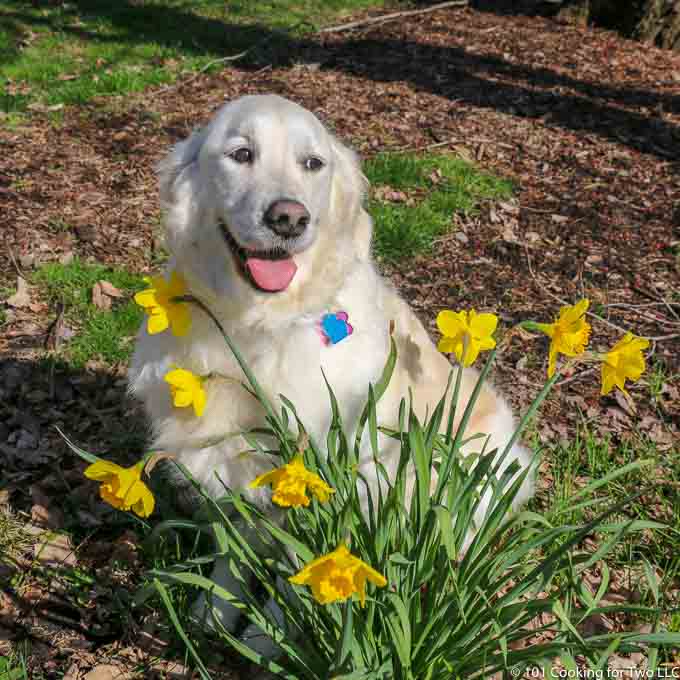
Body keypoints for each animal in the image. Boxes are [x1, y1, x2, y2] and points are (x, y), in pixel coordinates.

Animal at [126, 93, 532, 656]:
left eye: (312, 163)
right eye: (241, 154)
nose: (288, 217)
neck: (259, 325)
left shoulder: (336, 476)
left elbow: (298, 568)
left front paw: (266, 637)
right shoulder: (230, 463)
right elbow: (234, 551)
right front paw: (215, 611)